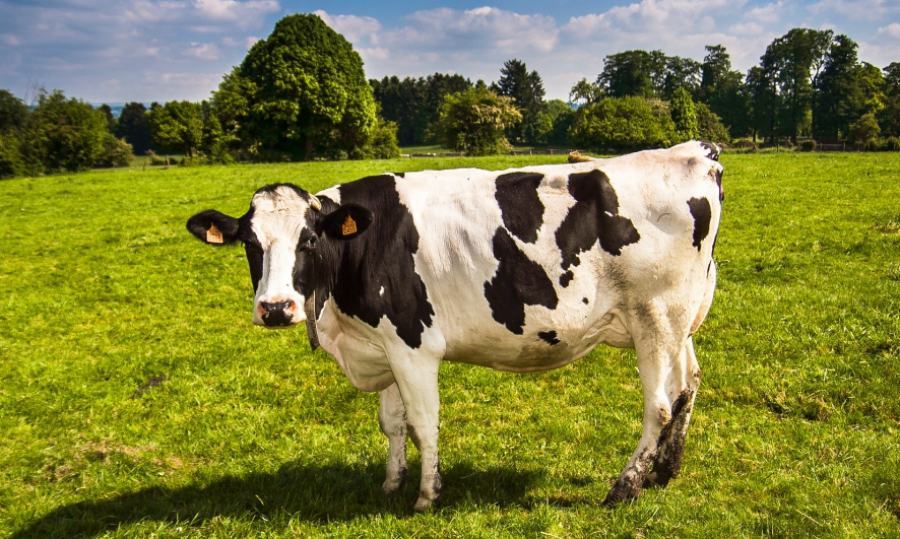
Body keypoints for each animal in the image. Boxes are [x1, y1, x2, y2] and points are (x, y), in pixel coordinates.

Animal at [186, 140, 723, 510]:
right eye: (250, 244)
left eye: (309, 240)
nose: (276, 308)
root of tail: (695, 151)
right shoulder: (383, 344)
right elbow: (392, 423)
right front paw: (391, 482)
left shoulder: (412, 344)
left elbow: (423, 422)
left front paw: (427, 495)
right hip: (679, 321)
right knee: (688, 385)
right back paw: (664, 471)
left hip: (655, 316)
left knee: (659, 405)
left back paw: (625, 486)